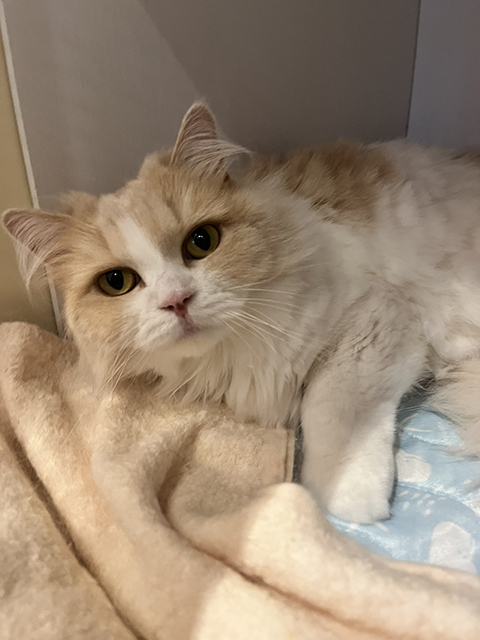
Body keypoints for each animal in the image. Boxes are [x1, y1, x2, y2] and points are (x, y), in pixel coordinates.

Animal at [4, 101, 480, 524]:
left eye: (202, 241)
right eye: (116, 282)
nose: (177, 300)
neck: (234, 352)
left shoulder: (374, 322)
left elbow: (332, 410)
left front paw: (345, 501)